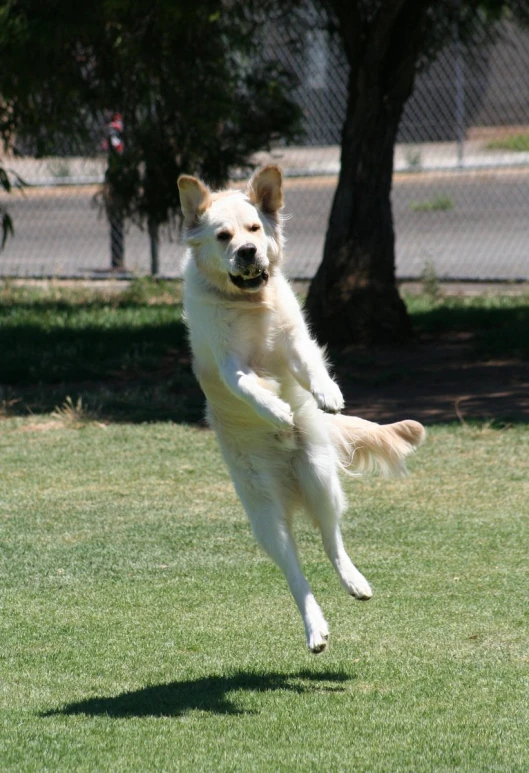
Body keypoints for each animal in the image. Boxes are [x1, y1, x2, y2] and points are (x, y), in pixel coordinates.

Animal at [177, 167, 424, 652]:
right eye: (223, 236)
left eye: (254, 229)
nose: (248, 251)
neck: (248, 302)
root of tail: (291, 481)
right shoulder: (229, 361)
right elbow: (248, 387)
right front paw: (275, 410)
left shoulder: (294, 338)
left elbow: (310, 362)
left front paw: (327, 394)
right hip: (265, 513)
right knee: (294, 569)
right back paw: (315, 627)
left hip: (318, 474)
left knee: (331, 540)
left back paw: (354, 582)